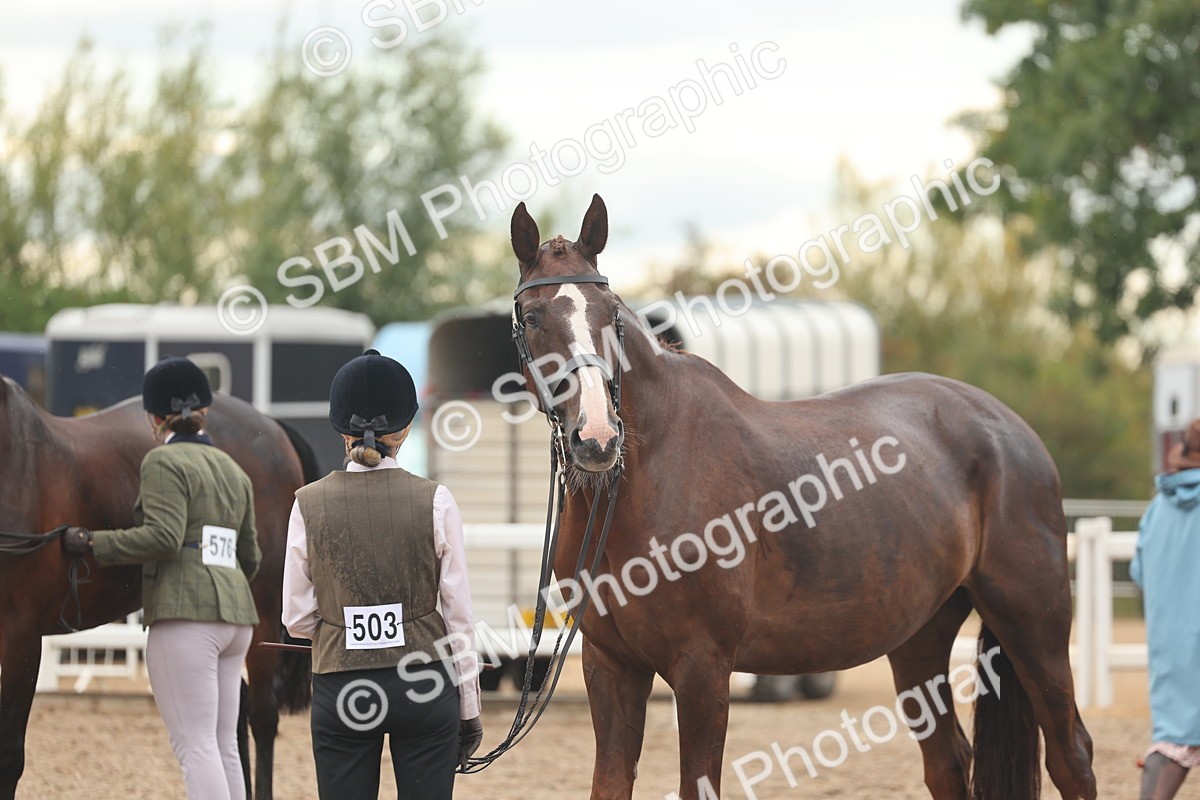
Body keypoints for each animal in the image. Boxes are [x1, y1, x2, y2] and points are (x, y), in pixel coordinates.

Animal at [506, 195, 1097, 800]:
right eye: (532, 317)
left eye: (612, 315)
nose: (597, 437)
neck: (645, 481)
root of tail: (1011, 431)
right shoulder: (611, 665)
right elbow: (610, 780)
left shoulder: (702, 668)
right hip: (922, 637)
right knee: (948, 760)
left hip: (1035, 626)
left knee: (1071, 753)